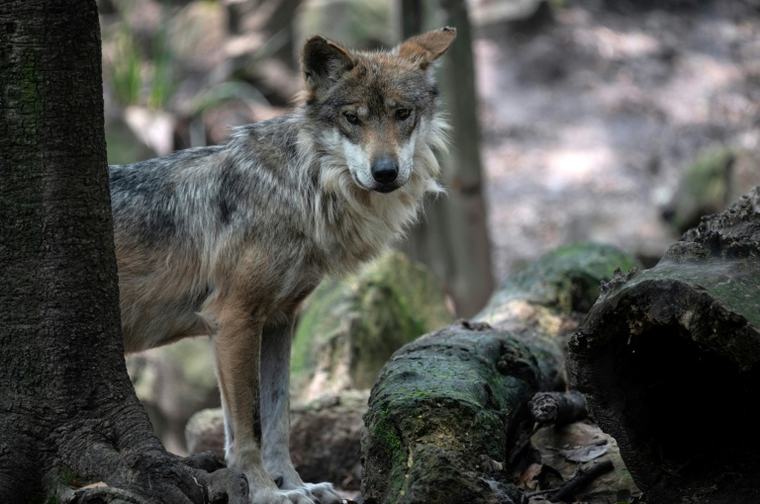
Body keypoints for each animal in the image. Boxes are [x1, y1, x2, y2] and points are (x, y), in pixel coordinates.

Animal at [109, 27, 456, 504]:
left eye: (402, 113)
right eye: (353, 118)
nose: (385, 172)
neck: (301, 186)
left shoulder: (278, 319)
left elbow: (277, 417)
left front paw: (295, 484)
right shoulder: (233, 319)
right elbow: (246, 425)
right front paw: (263, 491)